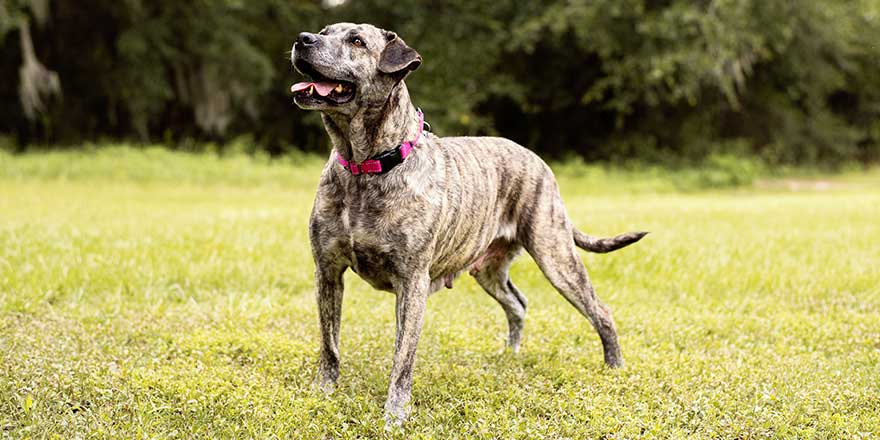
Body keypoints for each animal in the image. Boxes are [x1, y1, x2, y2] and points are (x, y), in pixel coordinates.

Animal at [292, 22, 644, 424]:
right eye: (324, 31)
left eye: (356, 41)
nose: (303, 39)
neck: (365, 166)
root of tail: (538, 161)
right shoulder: (328, 271)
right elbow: (329, 342)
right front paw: (323, 392)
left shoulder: (411, 282)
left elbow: (402, 358)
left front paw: (395, 414)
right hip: (488, 269)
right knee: (517, 303)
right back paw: (510, 354)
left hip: (555, 255)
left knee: (599, 310)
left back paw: (614, 366)